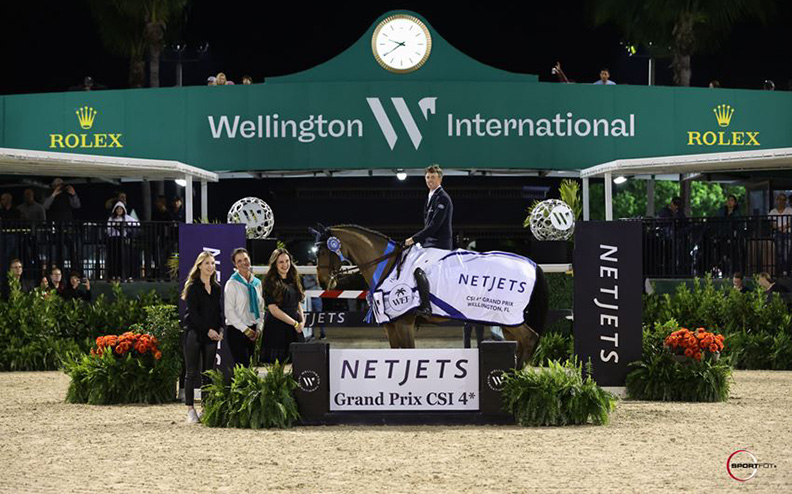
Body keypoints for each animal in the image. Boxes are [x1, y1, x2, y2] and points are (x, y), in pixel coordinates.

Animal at [312, 224, 549, 367]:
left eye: (323, 251)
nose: (323, 281)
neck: (388, 266)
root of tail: (533, 264)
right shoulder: (391, 326)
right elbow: (395, 355)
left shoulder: (404, 323)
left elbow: (408, 354)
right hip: (505, 320)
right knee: (521, 342)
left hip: (509, 316)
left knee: (530, 338)